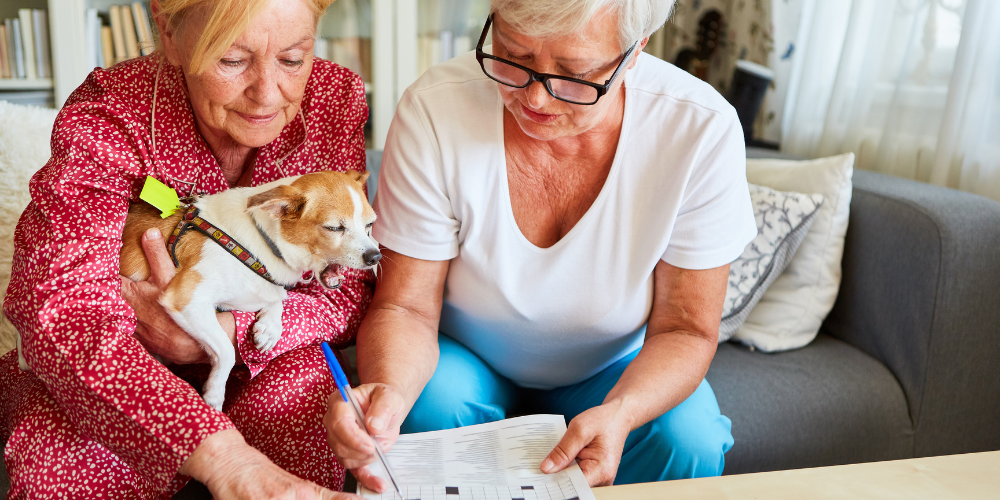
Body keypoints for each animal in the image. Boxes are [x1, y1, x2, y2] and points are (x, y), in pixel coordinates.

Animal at [17, 171, 380, 410]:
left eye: (369, 225)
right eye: (334, 228)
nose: (375, 256)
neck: (259, 242)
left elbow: (275, 298)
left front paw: (269, 326)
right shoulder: (187, 300)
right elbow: (227, 350)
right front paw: (214, 393)